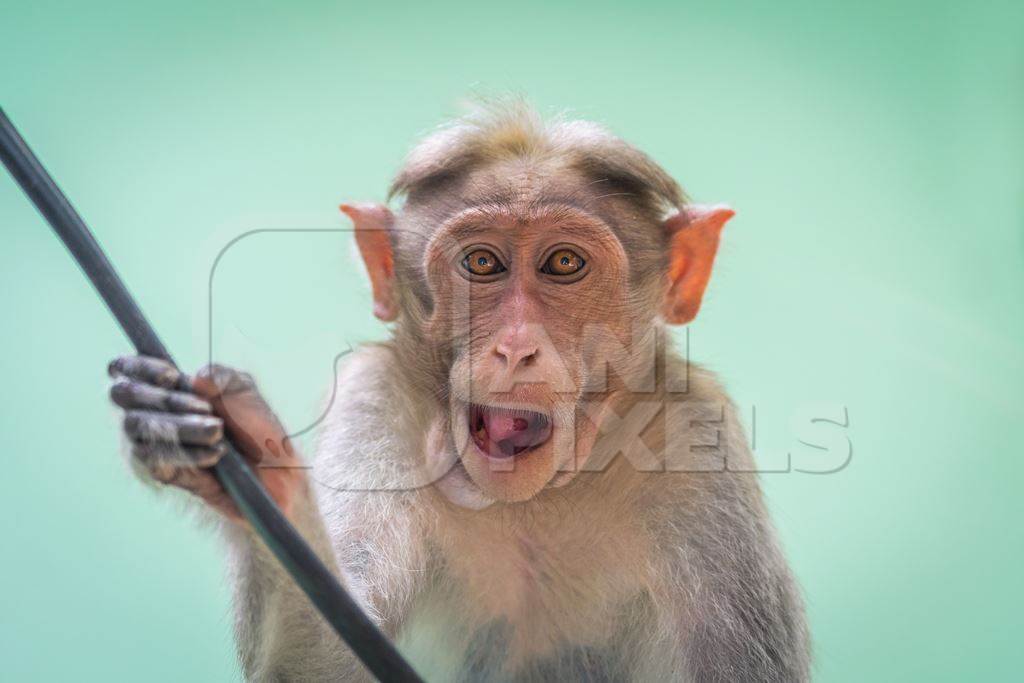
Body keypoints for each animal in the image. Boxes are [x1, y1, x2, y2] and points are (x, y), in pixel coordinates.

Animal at [103, 102, 806, 683]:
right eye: (483, 264)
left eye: (564, 264)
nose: (515, 348)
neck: (536, 498)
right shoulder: (376, 401)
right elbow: (323, 667)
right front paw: (256, 464)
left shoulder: (695, 442)